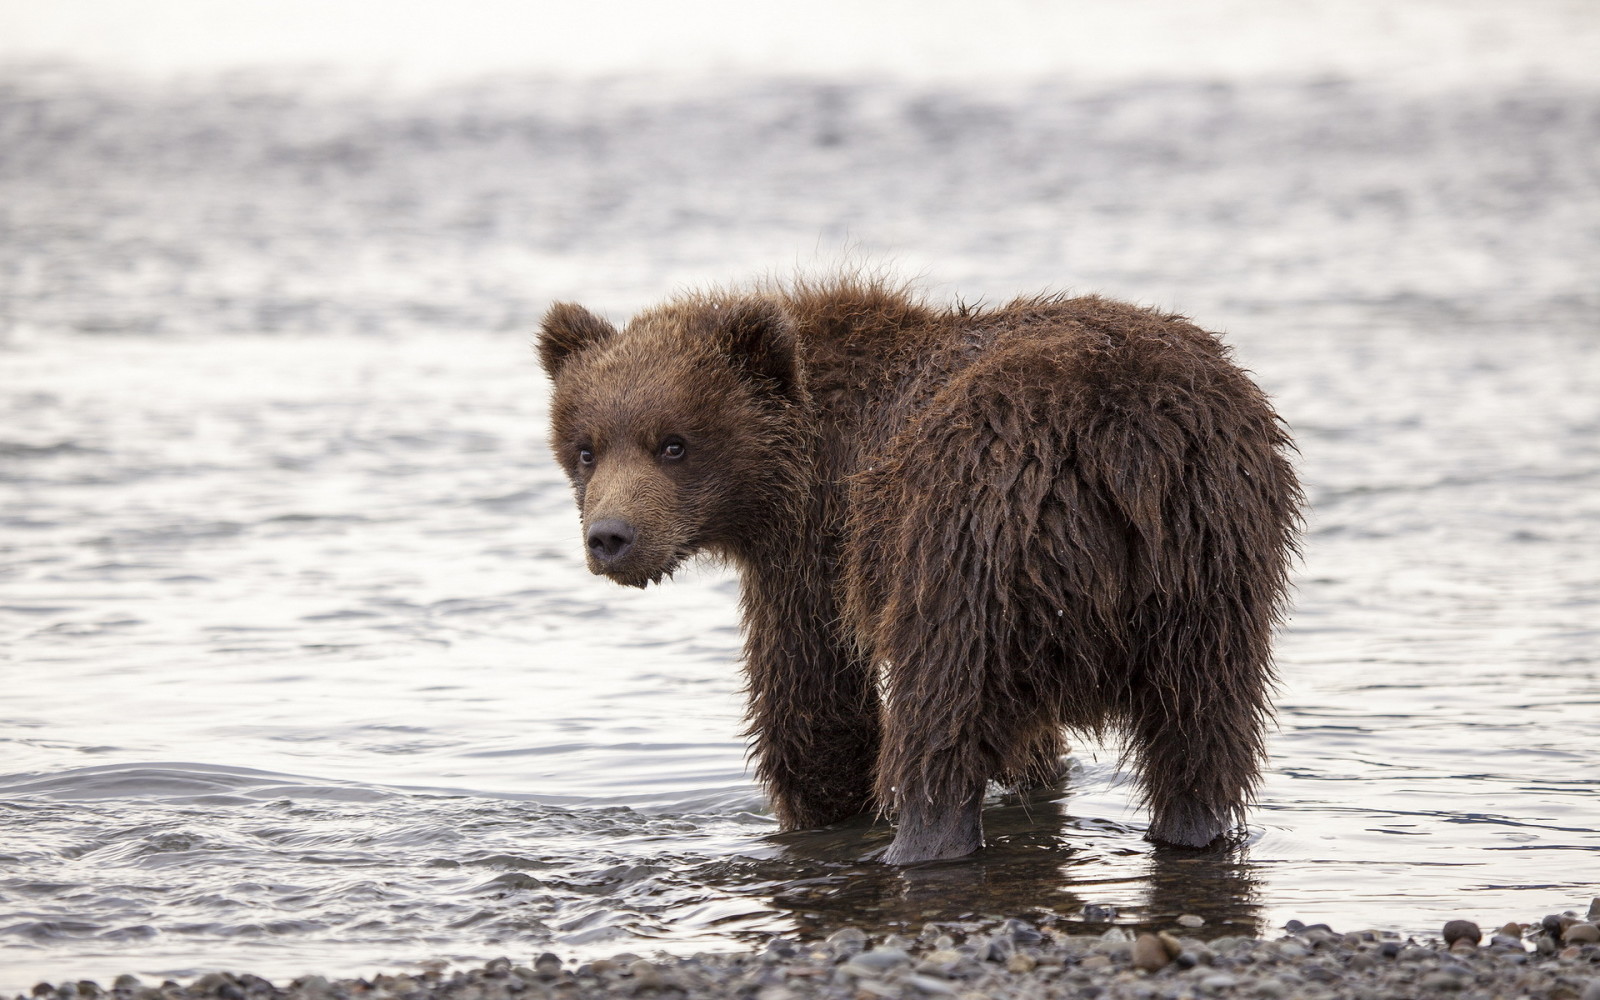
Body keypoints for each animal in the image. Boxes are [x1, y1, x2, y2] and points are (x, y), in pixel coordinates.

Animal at [537, 276, 1299, 864]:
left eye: (673, 444)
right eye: (586, 448)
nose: (611, 537)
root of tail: (1125, 444)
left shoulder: (821, 544)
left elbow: (814, 697)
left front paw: (821, 807)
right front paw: (1038, 771)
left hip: (967, 537)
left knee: (940, 706)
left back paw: (916, 842)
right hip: (1213, 563)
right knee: (1202, 727)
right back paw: (1193, 827)